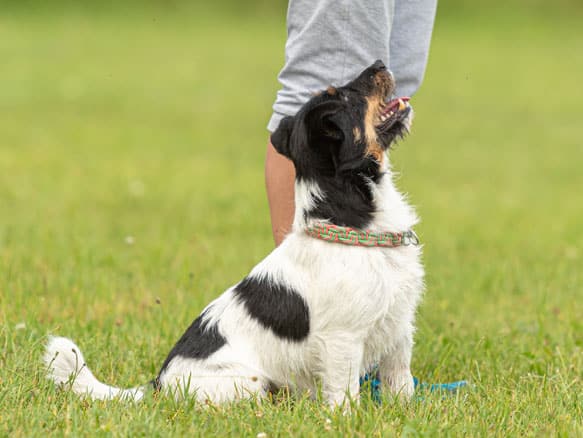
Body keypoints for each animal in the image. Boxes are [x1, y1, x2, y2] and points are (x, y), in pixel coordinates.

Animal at [43, 60, 422, 408]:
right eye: (343, 95)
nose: (380, 63)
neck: (353, 222)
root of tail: (158, 385)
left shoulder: (399, 326)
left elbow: (400, 379)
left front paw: (405, 412)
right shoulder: (342, 338)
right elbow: (344, 396)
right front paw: (348, 421)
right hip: (250, 383)